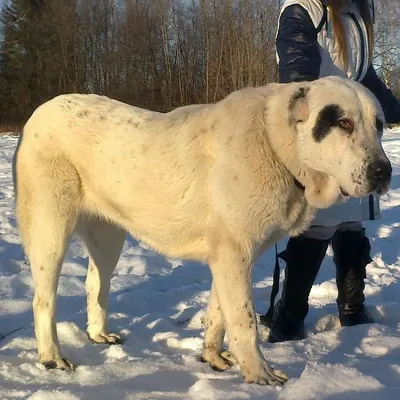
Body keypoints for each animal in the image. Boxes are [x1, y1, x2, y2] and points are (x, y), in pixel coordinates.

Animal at [11, 75, 390, 384]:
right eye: (343, 123)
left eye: (379, 125)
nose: (383, 172)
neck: (276, 145)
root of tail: (39, 113)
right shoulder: (235, 254)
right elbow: (244, 321)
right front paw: (260, 375)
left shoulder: (229, 256)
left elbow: (218, 313)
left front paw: (213, 358)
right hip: (50, 226)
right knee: (44, 298)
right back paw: (52, 357)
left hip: (108, 235)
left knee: (95, 283)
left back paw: (99, 335)